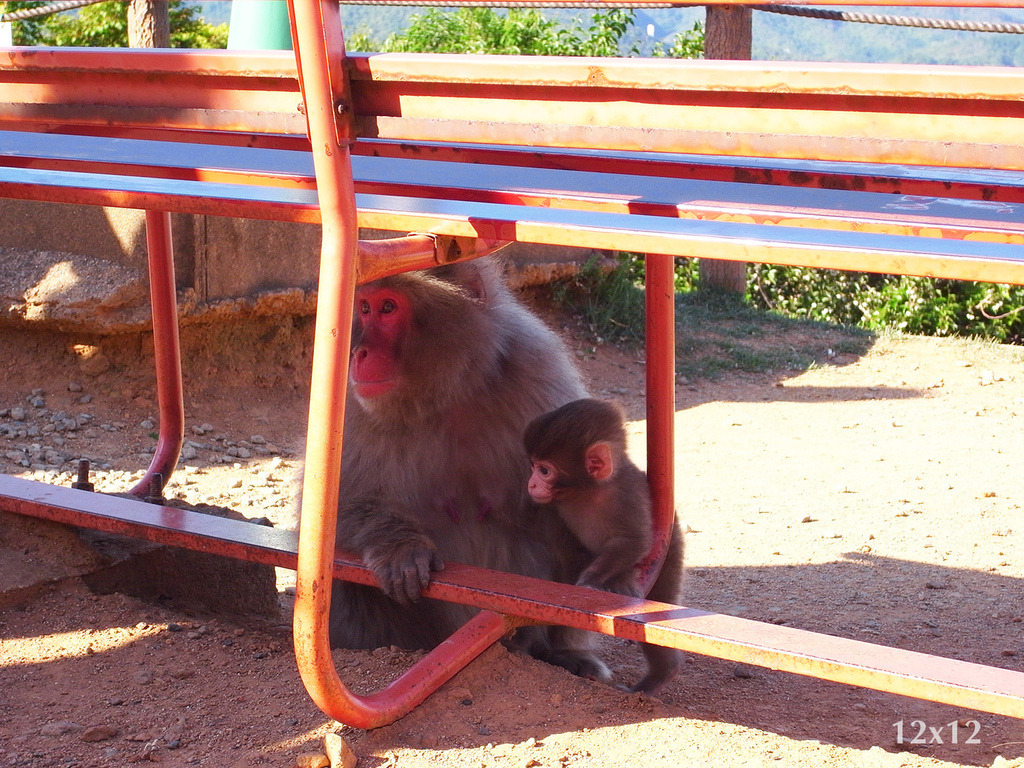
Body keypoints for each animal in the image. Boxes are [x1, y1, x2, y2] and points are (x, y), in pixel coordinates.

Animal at [331, 257, 610, 679]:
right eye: (364, 308)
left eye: (388, 308)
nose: (359, 352)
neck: (450, 391)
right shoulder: (354, 405)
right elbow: (334, 507)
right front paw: (399, 546)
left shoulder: (538, 371)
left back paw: (558, 652)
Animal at [524, 397, 651, 602]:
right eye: (532, 466)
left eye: (544, 470)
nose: (532, 484)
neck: (589, 491)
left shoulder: (628, 495)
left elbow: (631, 540)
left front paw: (591, 579)